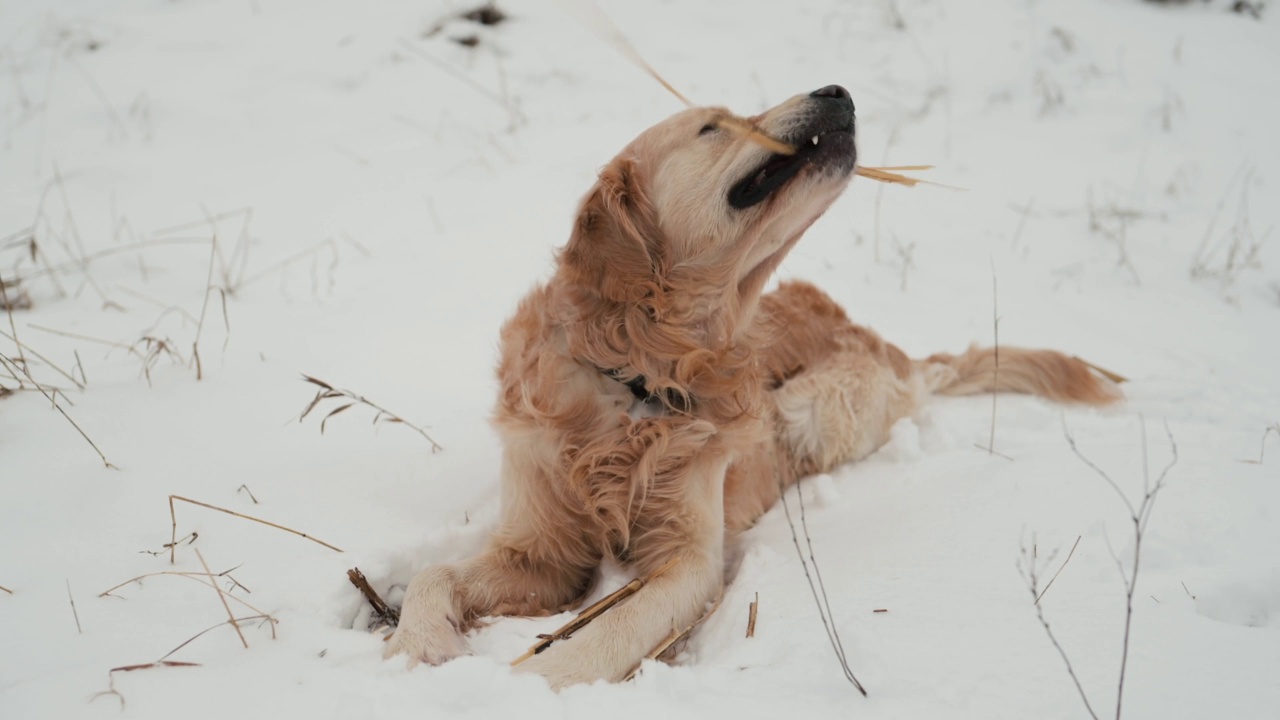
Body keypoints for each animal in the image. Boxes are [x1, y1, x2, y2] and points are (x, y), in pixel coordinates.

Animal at [381, 82, 1121, 681]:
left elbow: (610, 630)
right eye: (714, 127)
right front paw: (418, 643)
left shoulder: (687, 560)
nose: (838, 90)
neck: (638, 374)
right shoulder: (542, 550)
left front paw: (521, 683)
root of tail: (889, 344)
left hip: (811, 408)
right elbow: (433, 572)